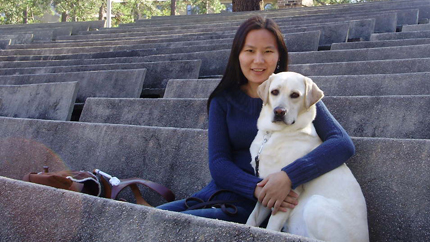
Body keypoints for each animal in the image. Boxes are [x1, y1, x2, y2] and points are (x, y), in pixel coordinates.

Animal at [247, 71, 368, 241]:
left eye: (295, 95)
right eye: (274, 92)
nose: (279, 111)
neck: (272, 134)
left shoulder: (286, 194)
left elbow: (272, 225)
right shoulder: (266, 188)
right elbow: (251, 219)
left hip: (315, 204)